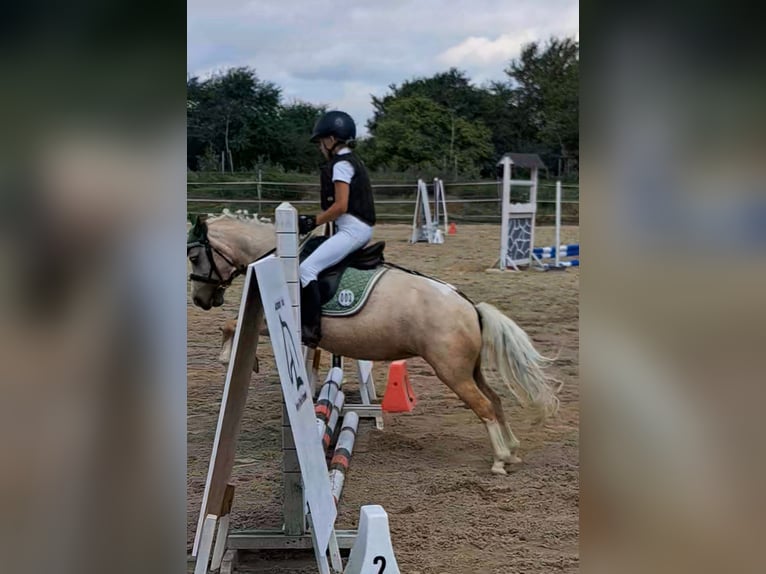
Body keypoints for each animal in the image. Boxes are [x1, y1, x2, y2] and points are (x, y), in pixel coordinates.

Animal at [189, 214, 560, 474]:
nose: (200, 300)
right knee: (494, 400)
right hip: (470, 370)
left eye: (193, 257)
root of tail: (470, 306)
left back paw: (499, 460)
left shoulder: (275, 319)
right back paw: (512, 451)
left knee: (483, 406)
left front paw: (233, 360)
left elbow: (231, 325)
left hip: (452, 372)